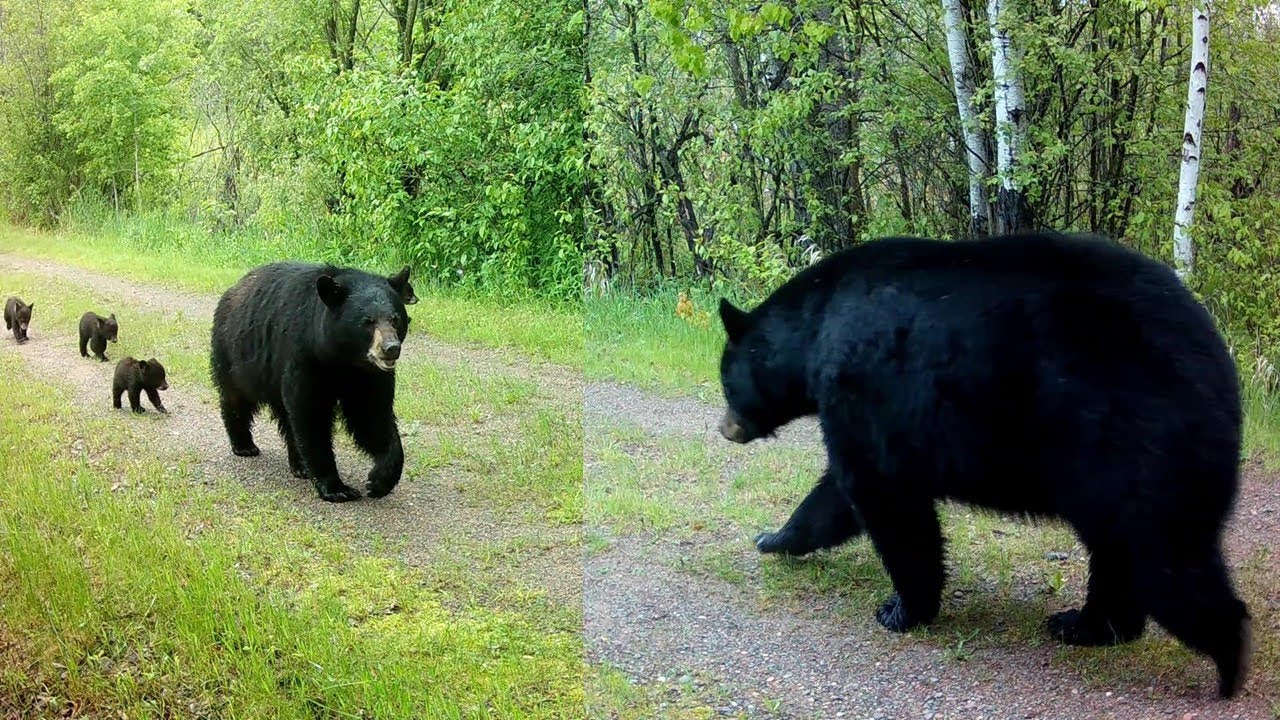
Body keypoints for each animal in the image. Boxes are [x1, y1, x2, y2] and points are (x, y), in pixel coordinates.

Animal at [210, 262, 411, 503]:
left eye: (395, 318)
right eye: (368, 321)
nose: (391, 348)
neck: (343, 359)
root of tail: (234, 287)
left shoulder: (368, 375)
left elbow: (372, 415)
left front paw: (380, 480)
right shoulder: (304, 358)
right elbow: (311, 415)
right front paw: (336, 487)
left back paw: (300, 465)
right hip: (237, 354)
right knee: (237, 398)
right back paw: (244, 445)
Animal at [716, 231, 1251, 699]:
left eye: (725, 380)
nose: (723, 428)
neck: (817, 325)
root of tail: (1220, 370)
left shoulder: (862, 391)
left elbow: (882, 500)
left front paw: (900, 610)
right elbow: (836, 496)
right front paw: (774, 538)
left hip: (1133, 444)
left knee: (1163, 556)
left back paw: (1227, 663)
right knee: (1121, 554)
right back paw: (1084, 626)